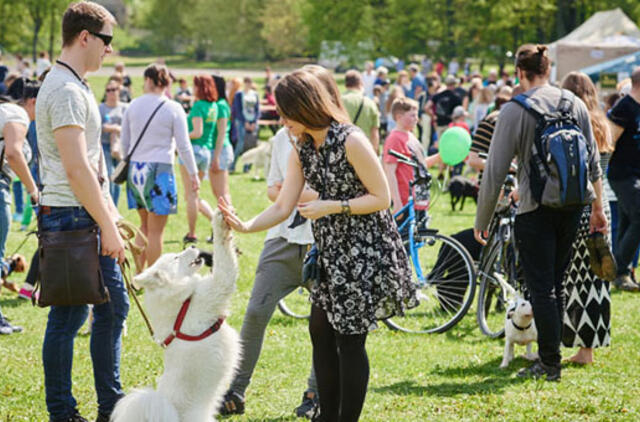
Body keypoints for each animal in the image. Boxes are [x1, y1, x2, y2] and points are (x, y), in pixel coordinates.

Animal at [110, 211, 240, 422]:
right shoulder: (218, 285)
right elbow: (224, 260)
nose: (194, 247)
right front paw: (220, 222)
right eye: (177, 257)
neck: (182, 301)